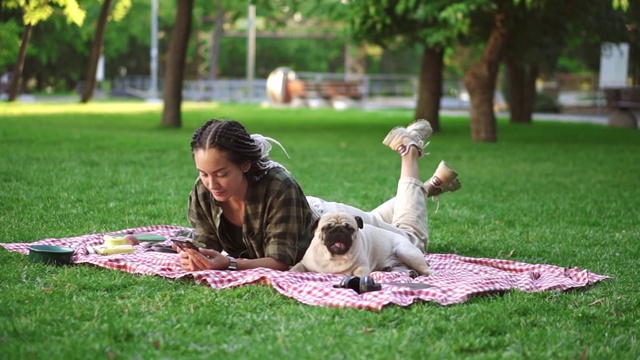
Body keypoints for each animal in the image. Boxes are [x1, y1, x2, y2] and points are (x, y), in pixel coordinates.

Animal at [292, 211, 432, 278]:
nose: (338, 230)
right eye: (326, 228)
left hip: (405, 251)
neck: (333, 257)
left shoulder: (362, 267)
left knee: (426, 271)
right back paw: (409, 273)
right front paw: (291, 271)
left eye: (349, 229)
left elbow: (358, 275)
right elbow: (297, 267)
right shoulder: (305, 264)